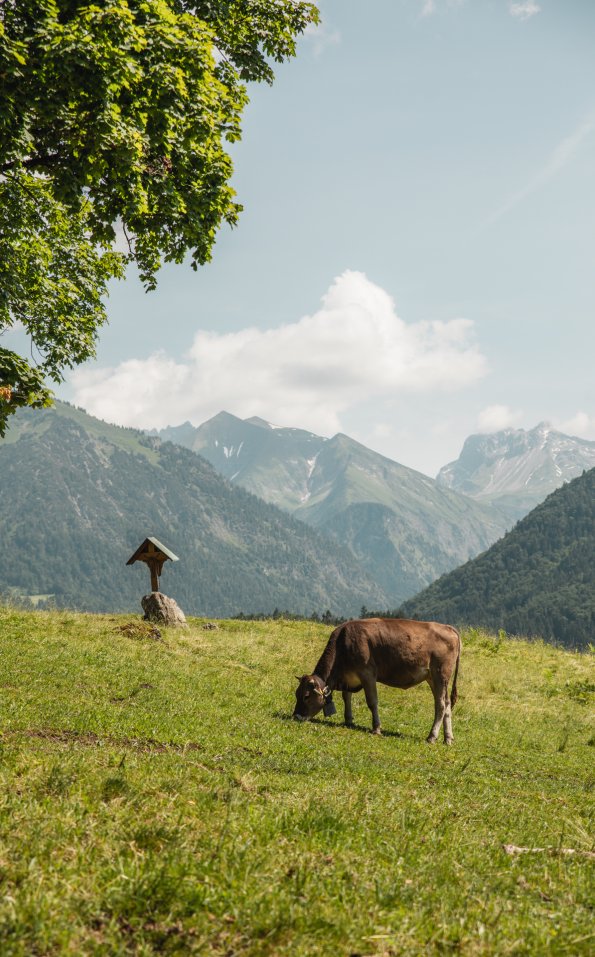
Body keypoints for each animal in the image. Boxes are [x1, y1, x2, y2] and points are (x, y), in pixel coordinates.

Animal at [293, 617, 461, 744]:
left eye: (306, 696)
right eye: (296, 694)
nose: (296, 716)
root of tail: (447, 627)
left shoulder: (367, 673)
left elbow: (372, 702)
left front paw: (376, 728)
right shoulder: (348, 678)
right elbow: (346, 697)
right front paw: (348, 720)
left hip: (440, 674)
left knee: (440, 704)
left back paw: (432, 737)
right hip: (434, 678)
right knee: (446, 703)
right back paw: (448, 738)